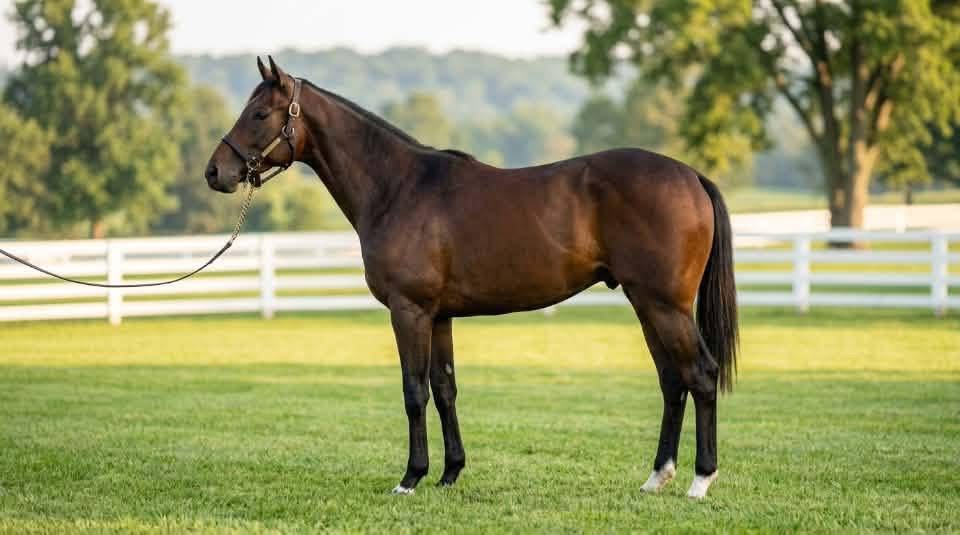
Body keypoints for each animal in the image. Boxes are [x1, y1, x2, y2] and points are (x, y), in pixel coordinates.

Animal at [205, 56, 738, 499]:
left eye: (259, 114)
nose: (215, 172)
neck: (398, 188)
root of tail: (691, 176)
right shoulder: (439, 317)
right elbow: (445, 389)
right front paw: (449, 473)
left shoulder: (409, 312)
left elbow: (414, 392)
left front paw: (411, 477)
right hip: (646, 304)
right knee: (672, 382)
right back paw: (656, 477)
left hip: (665, 306)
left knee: (701, 374)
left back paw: (700, 480)